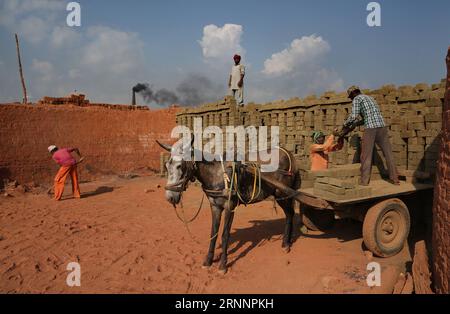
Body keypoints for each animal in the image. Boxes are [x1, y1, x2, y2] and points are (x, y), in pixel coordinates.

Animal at [156, 137, 300, 272]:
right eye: (166, 166)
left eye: (180, 166)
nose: (170, 197)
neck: (217, 174)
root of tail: (289, 154)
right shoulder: (215, 206)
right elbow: (213, 233)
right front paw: (208, 261)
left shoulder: (230, 206)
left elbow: (225, 235)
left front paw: (223, 265)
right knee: (291, 213)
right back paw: (289, 239)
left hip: (282, 194)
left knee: (290, 214)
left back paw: (286, 243)